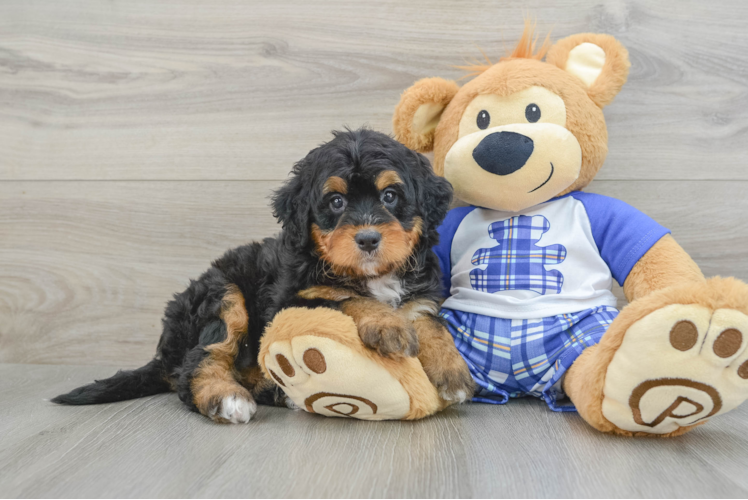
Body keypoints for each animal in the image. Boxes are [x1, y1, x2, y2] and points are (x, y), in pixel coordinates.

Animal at [52, 129, 474, 422]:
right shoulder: (293, 299)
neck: (369, 274)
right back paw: (225, 398)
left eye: (390, 196)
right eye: (336, 202)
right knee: (200, 360)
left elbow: (431, 323)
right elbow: (346, 297)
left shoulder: (420, 295)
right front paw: (387, 325)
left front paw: (453, 372)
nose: (368, 239)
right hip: (223, 296)